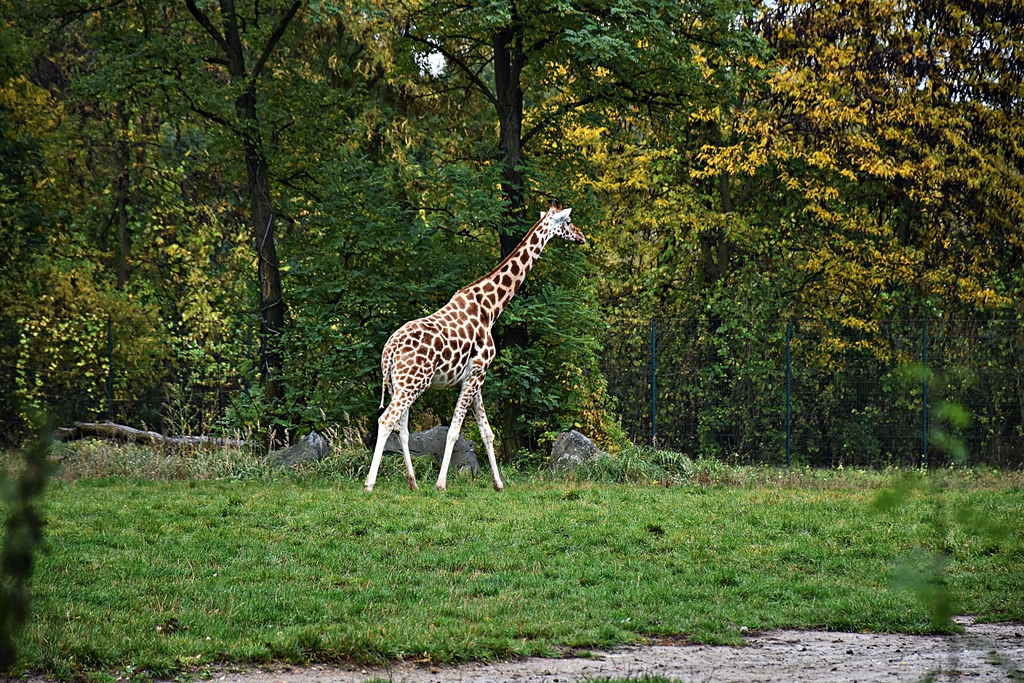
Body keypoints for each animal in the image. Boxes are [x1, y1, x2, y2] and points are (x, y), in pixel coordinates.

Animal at [364, 203, 586, 492]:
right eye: (568, 221)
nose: (582, 236)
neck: (491, 308)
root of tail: (389, 350)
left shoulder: (474, 377)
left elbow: (487, 432)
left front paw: (498, 484)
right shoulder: (477, 373)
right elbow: (454, 431)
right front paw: (441, 483)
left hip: (399, 384)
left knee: (401, 427)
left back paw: (413, 483)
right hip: (413, 383)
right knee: (387, 420)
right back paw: (370, 483)